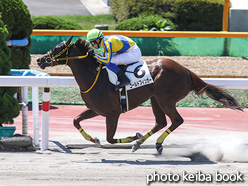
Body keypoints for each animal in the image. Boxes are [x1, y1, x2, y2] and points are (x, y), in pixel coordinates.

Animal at [36, 36, 242, 154]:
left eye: (58, 48)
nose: (39, 60)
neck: (94, 76)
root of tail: (187, 71)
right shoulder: (95, 109)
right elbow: (75, 121)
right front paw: (94, 139)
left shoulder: (112, 113)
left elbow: (110, 138)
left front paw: (131, 137)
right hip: (155, 99)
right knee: (161, 122)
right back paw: (144, 143)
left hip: (165, 99)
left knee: (176, 120)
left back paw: (150, 143)